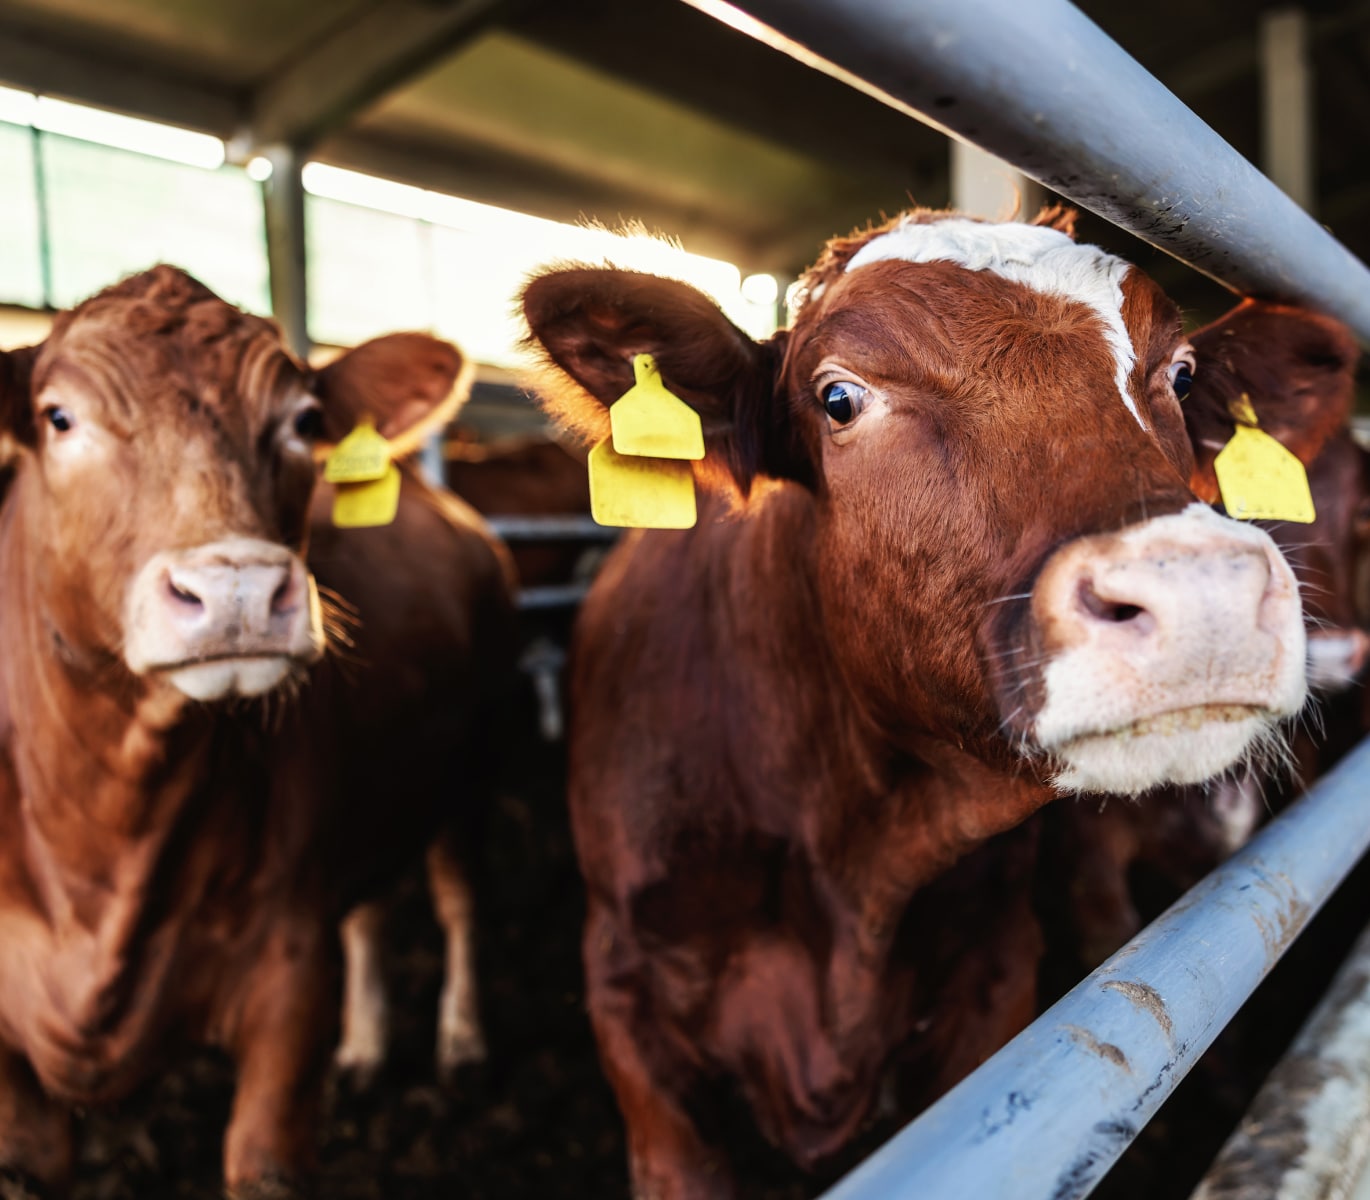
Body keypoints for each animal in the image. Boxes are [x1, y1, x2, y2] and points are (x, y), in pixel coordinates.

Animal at [0, 267, 515, 1194]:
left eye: (305, 422)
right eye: (58, 418)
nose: (235, 589)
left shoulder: (288, 979)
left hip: (474, 761)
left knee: (459, 897)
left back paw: (461, 1045)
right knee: (371, 909)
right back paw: (365, 1051)